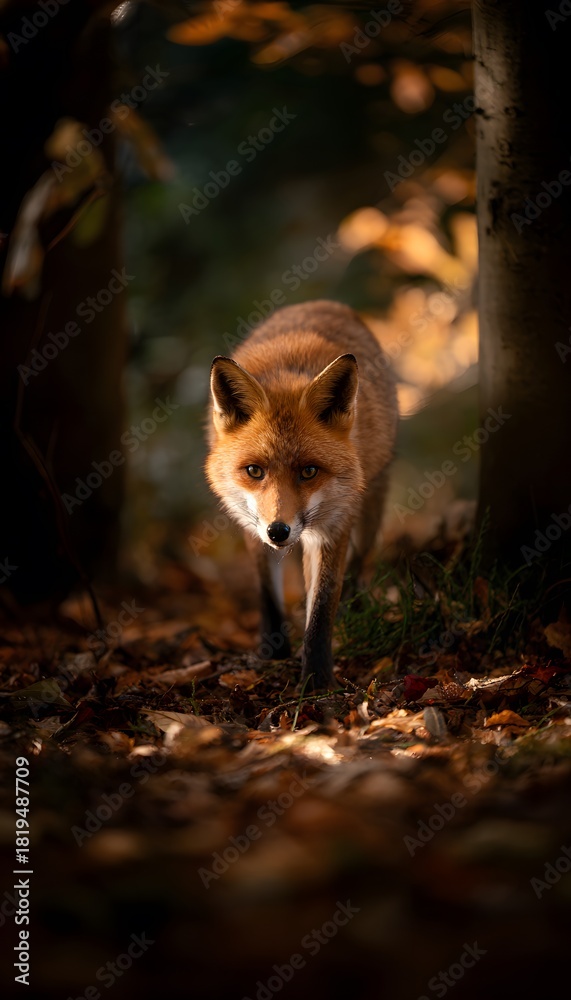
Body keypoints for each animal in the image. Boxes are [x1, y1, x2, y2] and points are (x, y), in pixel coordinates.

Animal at [205, 300, 398, 689]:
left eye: (308, 471)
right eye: (255, 471)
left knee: (357, 566)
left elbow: (321, 605)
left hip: (369, 510)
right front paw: (274, 652)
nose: (278, 531)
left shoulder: (334, 525)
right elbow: (267, 593)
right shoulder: (252, 524)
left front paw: (316, 680)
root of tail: (325, 303)